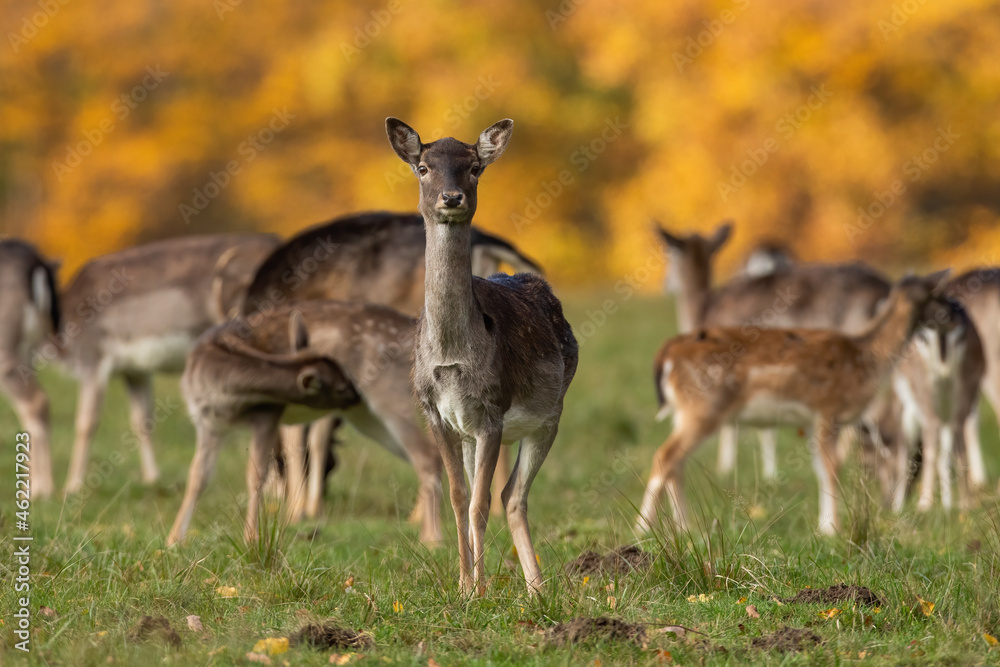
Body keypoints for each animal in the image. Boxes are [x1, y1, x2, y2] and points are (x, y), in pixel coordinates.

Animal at [57, 233, 281, 496]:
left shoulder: (93, 358)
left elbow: (86, 422)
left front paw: (70, 487)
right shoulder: (135, 370)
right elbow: (142, 421)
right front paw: (152, 479)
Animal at [167, 300, 443, 546]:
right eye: (339, 384)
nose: (356, 392)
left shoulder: (268, 412)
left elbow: (256, 474)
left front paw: (251, 540)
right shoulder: (207, 423)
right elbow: (198, 476)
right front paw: (174, 540)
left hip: (393, 396)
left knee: (427, 456)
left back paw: (431, 539)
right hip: (368, 417)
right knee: (430, 455)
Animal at [386, 117, 578, 595]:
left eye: (474, 167)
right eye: (423, 167)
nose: (451, 197)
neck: (452, 355)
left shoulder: (492, 409)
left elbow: (480, 502)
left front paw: (480, 591)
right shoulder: (436, 413)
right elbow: (459, 499)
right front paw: (463, 586)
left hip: (550, 415)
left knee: (513, 495)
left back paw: (536, 589)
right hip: (473, 433)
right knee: (499, 493)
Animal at [636, 271, 950, 536]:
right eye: (938, 296)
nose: (952, 313)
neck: (867, 359)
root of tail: (665, 355)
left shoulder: (812, 421)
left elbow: (820, 470)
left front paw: (824, 527)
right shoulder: (828, 410)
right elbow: (832, 468)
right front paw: (832, 529)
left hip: (683, 411)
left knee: (676, 463)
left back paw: (684, 528)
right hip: (703, 407)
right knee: (665, 457)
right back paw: (642, 529)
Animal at [656, 223, 890, 480]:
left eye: (668, 253)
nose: (664, 283)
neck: (702, 311)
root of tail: (885, 290)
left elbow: (734, 424)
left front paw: (726, 470)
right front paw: (769, 474)